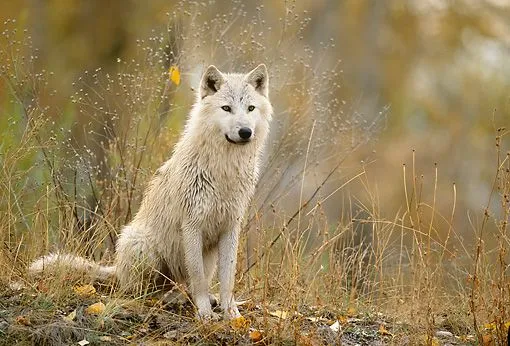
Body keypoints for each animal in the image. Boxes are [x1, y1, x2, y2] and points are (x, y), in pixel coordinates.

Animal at [29, 64, 272, 318]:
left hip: (207, 256)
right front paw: (205, 314)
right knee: (143, 292)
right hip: (144, 249)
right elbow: (198, 279)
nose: (245, 131)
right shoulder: (192, 226)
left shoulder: (230, 228)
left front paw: (232, 314)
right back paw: (170, 299)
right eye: (226, 108)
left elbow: (227, 280)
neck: (223, 170)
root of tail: (117, 269)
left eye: (250, 108)